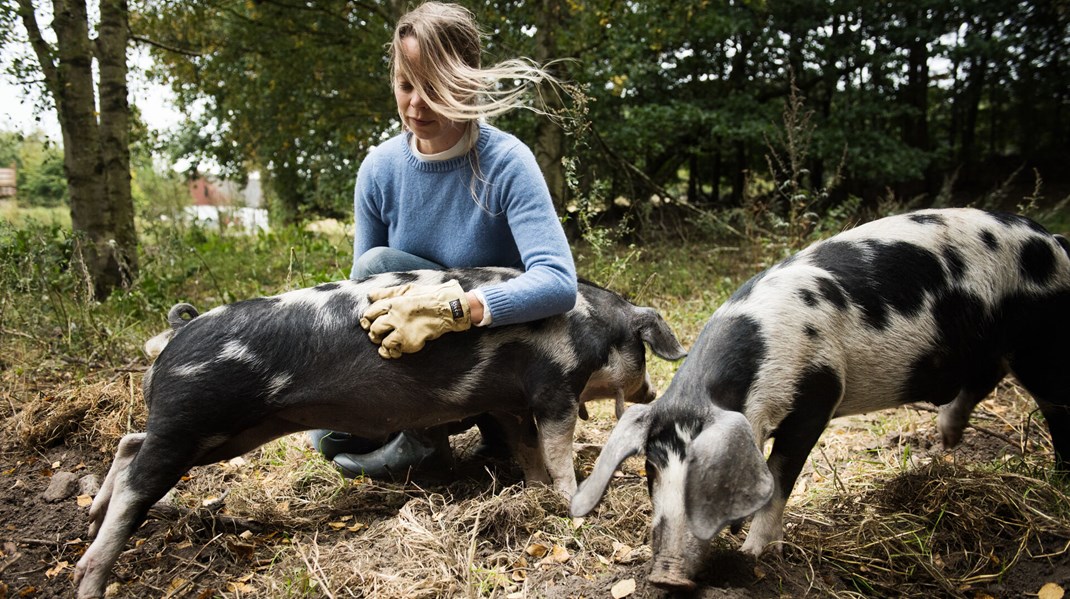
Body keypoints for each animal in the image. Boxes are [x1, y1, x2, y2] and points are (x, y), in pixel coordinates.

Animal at [73, 267, 684, 599]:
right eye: (642, 351)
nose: (652, 391)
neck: (592, 327)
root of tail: (175, 336)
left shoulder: (509, 403)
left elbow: (527, 449)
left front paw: (531, 494)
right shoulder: (553, 388)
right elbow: (556, 449)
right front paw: (568, 501)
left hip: (222, 434)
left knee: (129, 445)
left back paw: (90, 517)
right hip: (195, 420)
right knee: (138, 480)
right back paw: (88, 577)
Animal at [573, 208, 1065, 590]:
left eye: (706, 479)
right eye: (650, 469)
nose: (666, 576)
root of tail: (1054, 242)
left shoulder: (817, 398)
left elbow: (779, 477)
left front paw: (755, 555)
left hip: (1040, 342)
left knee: (1055, 407)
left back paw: (1058, 482)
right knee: (985, 378)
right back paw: (947, 439)